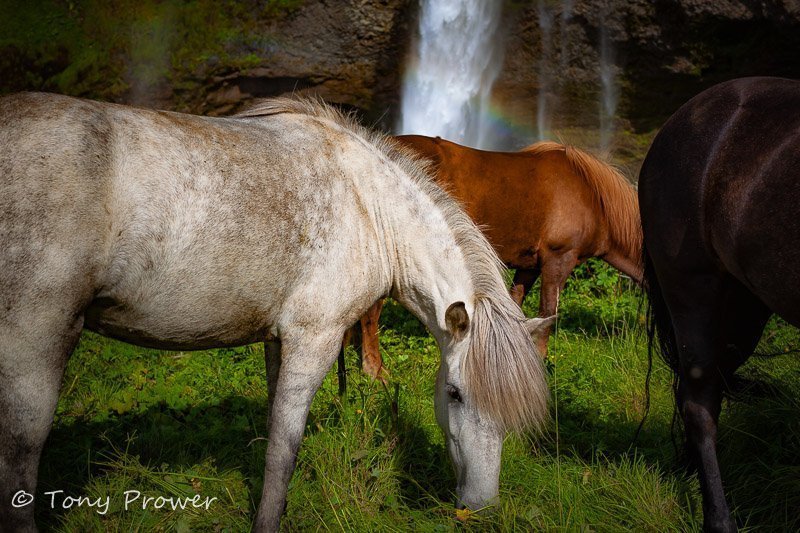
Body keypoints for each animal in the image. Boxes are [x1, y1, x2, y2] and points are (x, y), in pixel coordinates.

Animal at [0, 93, 552, 528]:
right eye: (455, 395)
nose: (481, 506)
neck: (369, 205)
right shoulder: (314, 341)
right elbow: (283, 450)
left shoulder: (276, 342)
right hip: (35, 346)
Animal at [346, 133, 644, 382]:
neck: (591, 196)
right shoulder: (558, 261)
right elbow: (548, 312)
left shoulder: (529, 267)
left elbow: (514, 305)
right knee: (371, 313)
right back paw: (375, 370)